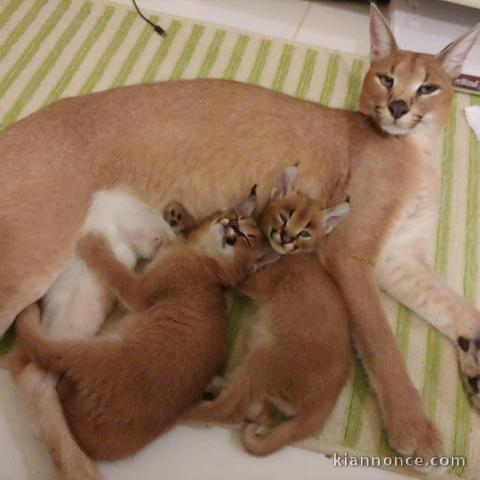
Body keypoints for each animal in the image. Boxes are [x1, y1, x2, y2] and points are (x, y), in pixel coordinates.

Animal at [14, 190, 262, 464]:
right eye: (234, 216)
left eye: (246, 238)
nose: (232, 225)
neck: (205, 264)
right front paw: (179, 218)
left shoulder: (139, 292)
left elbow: (115, 270)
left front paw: (92, 244)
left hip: (93, 351)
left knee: (40, 354)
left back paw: (27, 315)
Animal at [188, 167, 352, 456]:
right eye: (285, 216)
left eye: (305, 233)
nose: (286, 238)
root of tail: (328, 399)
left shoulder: (252, 279)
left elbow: (237, 268)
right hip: (255, 344)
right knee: (257, 411)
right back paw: (214, 384)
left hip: (265, 359)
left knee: (230, 411)